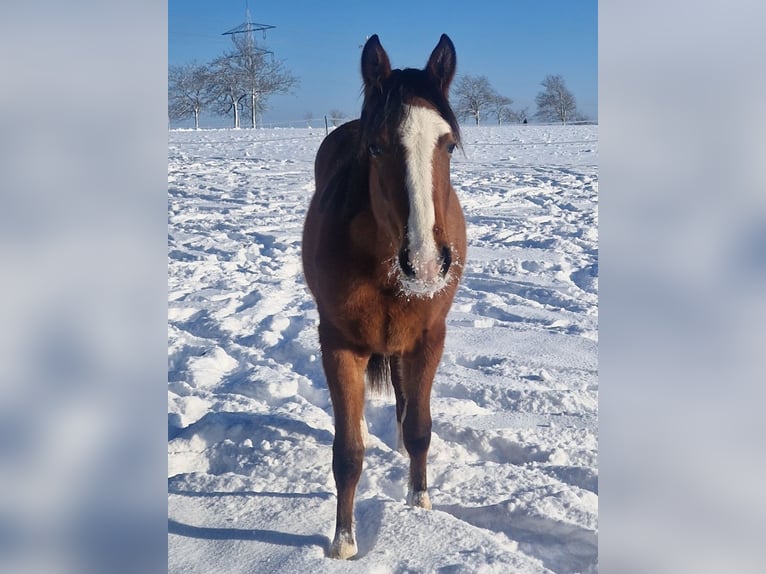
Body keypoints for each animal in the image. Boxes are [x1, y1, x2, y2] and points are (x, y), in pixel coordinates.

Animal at [302, 33, 466, 559]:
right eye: (375, 147)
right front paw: (343, 543)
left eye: (448, 144)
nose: (428, 264)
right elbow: (348, 453)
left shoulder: (429, 338)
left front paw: (419, 504)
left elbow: (420, 429)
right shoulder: (338, 345)